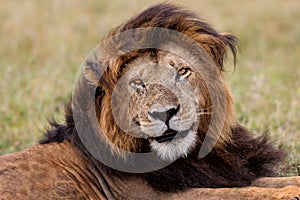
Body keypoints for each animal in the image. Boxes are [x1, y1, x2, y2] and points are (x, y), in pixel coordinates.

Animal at [0, 3, 300, 200]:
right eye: (138, 84)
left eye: (182, 72)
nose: (164, 113)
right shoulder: (157, 196)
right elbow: (244, 193)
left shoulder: (224, 173)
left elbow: (271, 181)